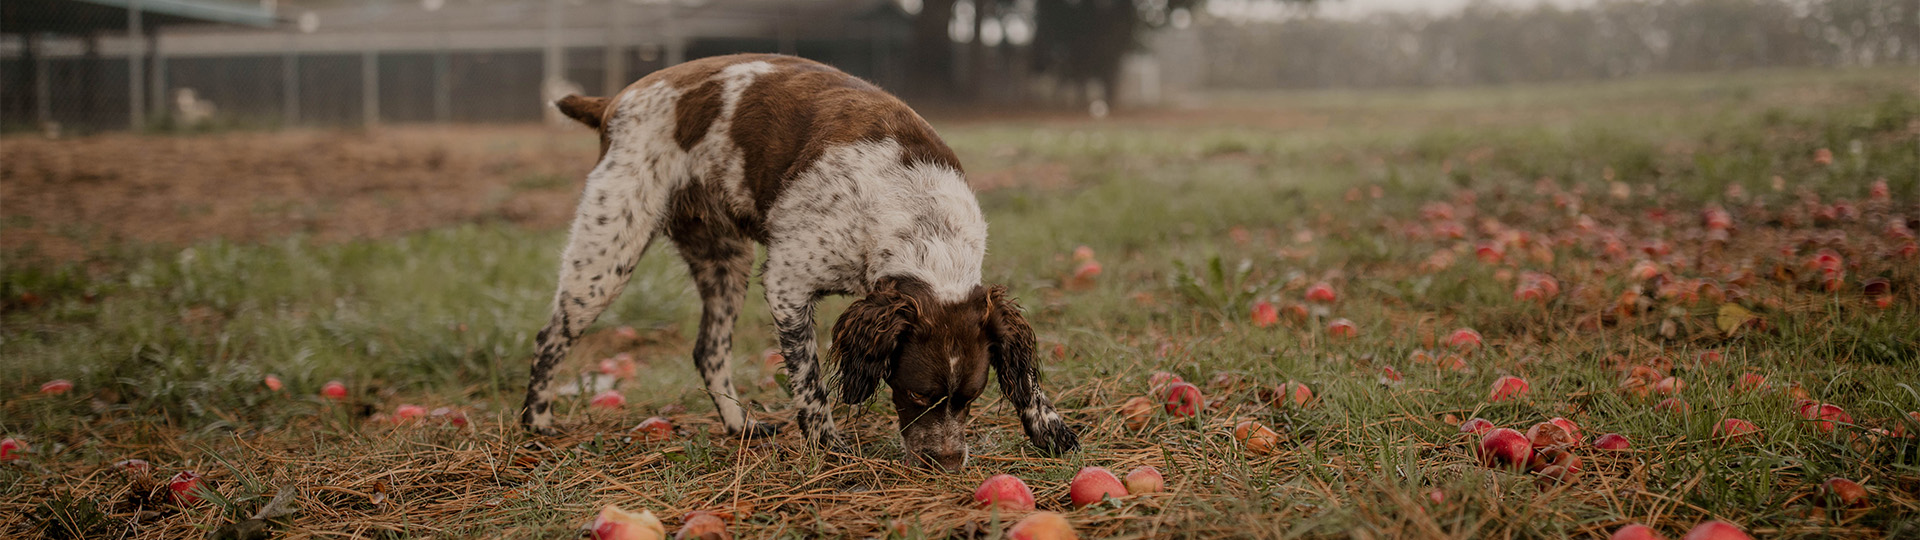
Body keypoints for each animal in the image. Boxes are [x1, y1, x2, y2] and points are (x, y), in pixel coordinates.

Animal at [526, 52, 1082, 468]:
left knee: (709, 350)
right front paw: (829, 449)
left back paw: (741, 427)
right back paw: (536, 425)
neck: (921, 221)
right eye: (919, 395)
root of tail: (615, 101)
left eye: (969, 399)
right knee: (550, 338)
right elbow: (811, 383)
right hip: (607, 252)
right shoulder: (788, 282)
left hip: (723, 260)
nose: (946, 464)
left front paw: (1049, 429)